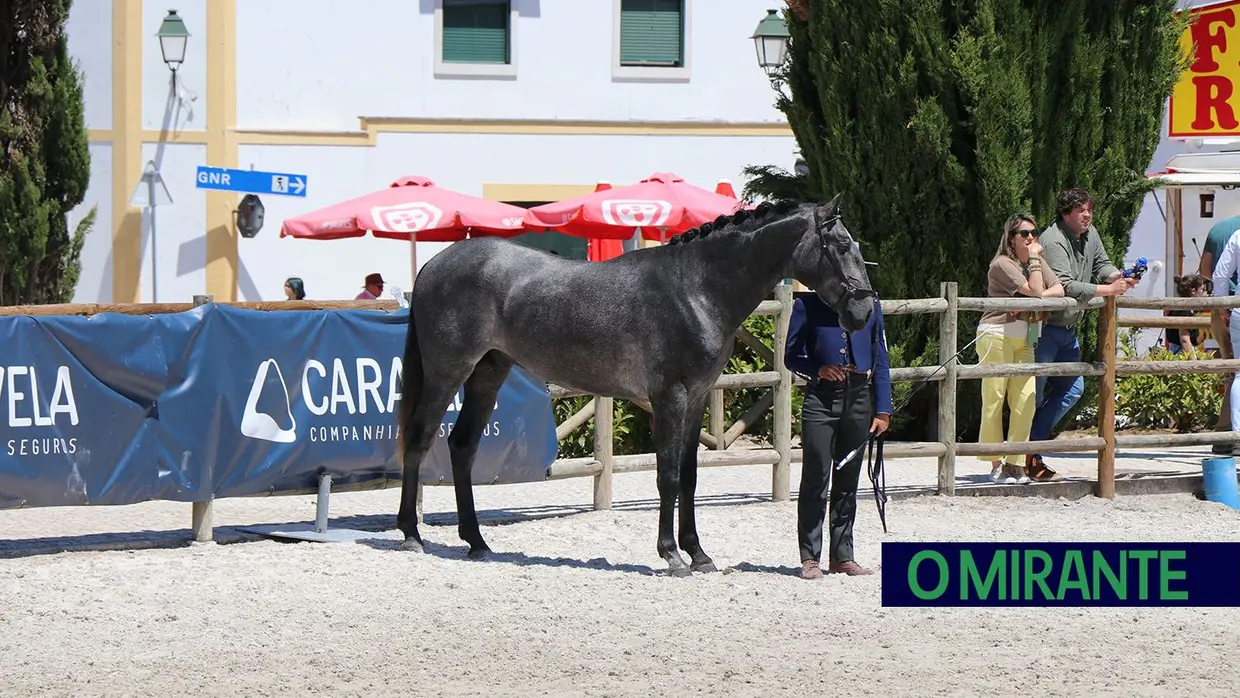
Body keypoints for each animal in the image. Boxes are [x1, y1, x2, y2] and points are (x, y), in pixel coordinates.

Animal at [394, 197, 872, 580]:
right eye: (841, 246)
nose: (864, 312)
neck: (696, 289)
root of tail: (434, 265)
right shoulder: (669, 398)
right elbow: (667, 476)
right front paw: (672, 556)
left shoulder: (697, 398)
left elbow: (689, 477)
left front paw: (699, 555)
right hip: (447, 372)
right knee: (419, 438)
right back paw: (411, 534)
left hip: (488, 373)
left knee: (462, 446)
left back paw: (477, 542)